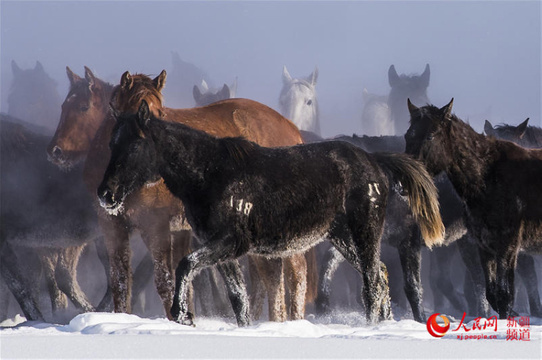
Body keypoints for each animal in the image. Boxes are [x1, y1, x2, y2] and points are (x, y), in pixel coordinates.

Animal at [98, 100, 446, 326]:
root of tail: (375, 161)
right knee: (382, 278)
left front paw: (183, 316)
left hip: (364, 233)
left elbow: (186, 265)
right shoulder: (221, 250)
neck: (210, 174)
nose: (105, 194)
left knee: (373, 283)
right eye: (111, 144)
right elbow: (238, 297)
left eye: (134, 145)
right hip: (344, 238)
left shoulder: (230, 243)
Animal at [406, 98, 542, 318]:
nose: (404, 182)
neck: (488, 177)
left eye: (430, 136)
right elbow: (492, 294)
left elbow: (506, 295)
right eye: (408, 135)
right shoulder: (483, 245)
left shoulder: (508, 245)